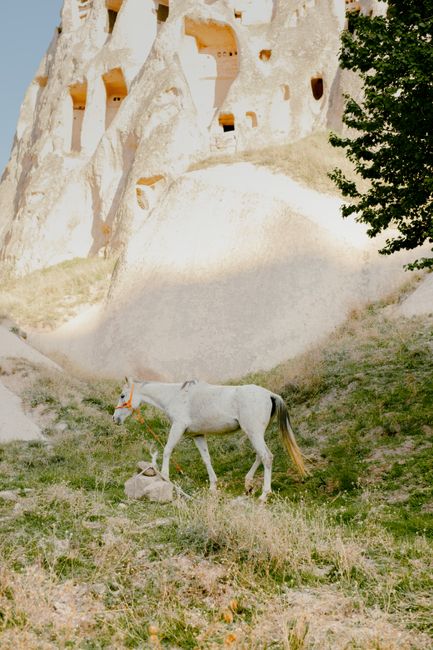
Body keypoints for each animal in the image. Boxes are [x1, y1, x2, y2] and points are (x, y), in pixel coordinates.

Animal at [113, 378, 308, 501]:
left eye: (122, 395)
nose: (115, 419)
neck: (176, 395)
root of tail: (269, 394)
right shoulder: (198, 435)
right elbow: (206, 458)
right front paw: (213, 487)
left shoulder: (178, 427)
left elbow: (167, 449)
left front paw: (165, 476)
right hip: (256, 433)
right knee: (261, 455)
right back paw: (248, 485)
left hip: (253, 432)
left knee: (267, 457)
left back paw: (264, 494)